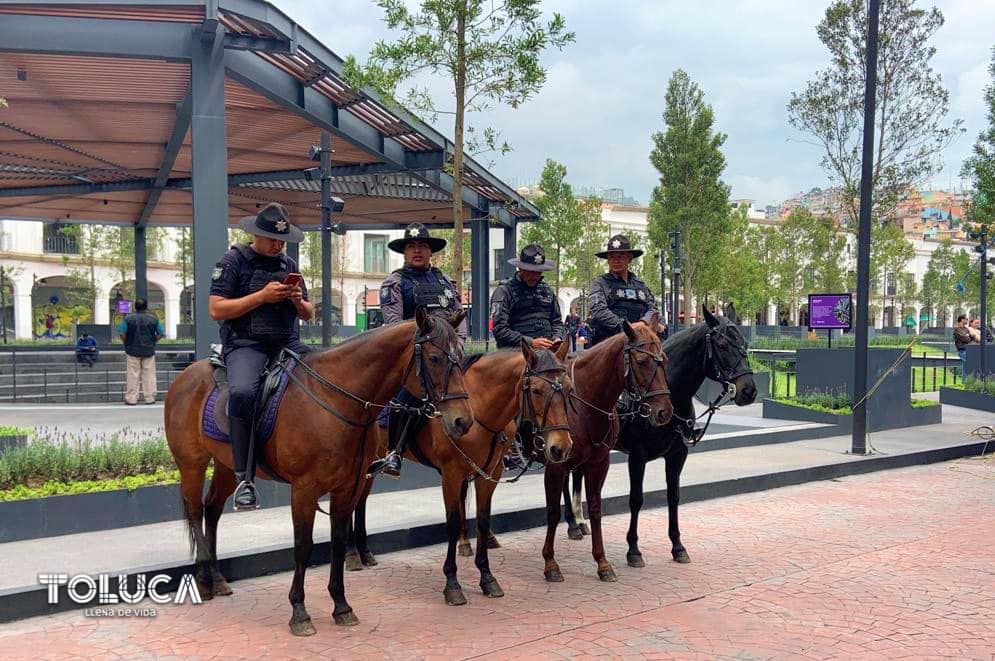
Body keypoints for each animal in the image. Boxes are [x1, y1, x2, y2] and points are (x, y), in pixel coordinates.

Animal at [164, 310, 474, 636]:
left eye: (461, 355)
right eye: (435, 358)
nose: (462, 421)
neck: (336, 400)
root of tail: (185, 375)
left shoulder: (347, 488)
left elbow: (337, 542)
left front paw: (341, 605)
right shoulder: (304, 489)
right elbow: (303, 547)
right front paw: (299, 612)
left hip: (226, 464)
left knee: (212, 509)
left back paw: (217, 578)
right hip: (192, 463)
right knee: (195, 510)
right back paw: (203, 580)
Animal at [346, 338, 572, 604]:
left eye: (569, 389)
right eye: (536, 390)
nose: (560, 447)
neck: (477, 409)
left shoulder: (490, 473)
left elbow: (483, 521)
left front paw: (487, 577)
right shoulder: (451, 475)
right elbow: (453, 523)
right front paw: (452, 584)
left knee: (361, 501)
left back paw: (364, 552)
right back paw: (351, 555)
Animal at [462, 318, 672, 580]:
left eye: (664, 358)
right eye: (642, 361)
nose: (664, 411)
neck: (584, 404)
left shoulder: (598, 463)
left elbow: (595, 508)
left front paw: (602, 562)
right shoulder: (556, 466)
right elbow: (552, 512)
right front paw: (550, 563)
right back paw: (465, 542)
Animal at [564, 304, 760, 568]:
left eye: (744, 343)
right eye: (721, 345)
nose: (749, 391)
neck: (670, 396)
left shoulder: (677, 455)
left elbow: (673, 496)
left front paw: (678, 546)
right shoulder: (637, 457)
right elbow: (636, 499)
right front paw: (633, 549)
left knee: (576, 474)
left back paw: (580, 521)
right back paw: (572, 524)